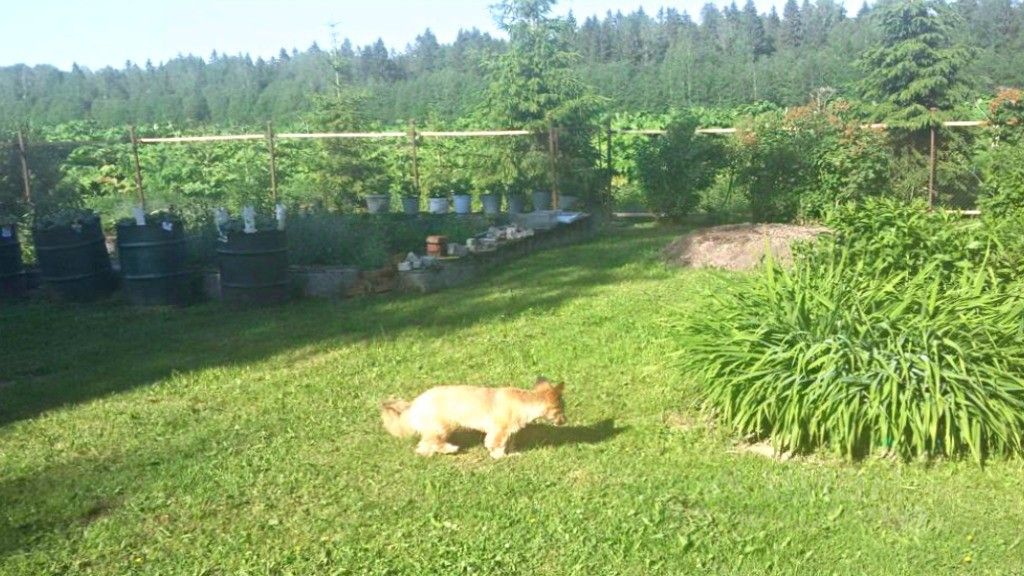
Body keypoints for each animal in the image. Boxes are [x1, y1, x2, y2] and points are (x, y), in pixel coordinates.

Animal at [380, 377, 567, 459]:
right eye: (561, 409)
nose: (565, 420)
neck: (524, 401)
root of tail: (415, 404)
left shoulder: (509, 431)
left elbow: (509, 442)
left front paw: (512, 452)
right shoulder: (499, 431)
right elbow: (496, 445)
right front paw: (502, 456)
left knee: (424, 445)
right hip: (442, 426)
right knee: (431, 441)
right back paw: (449, 449)